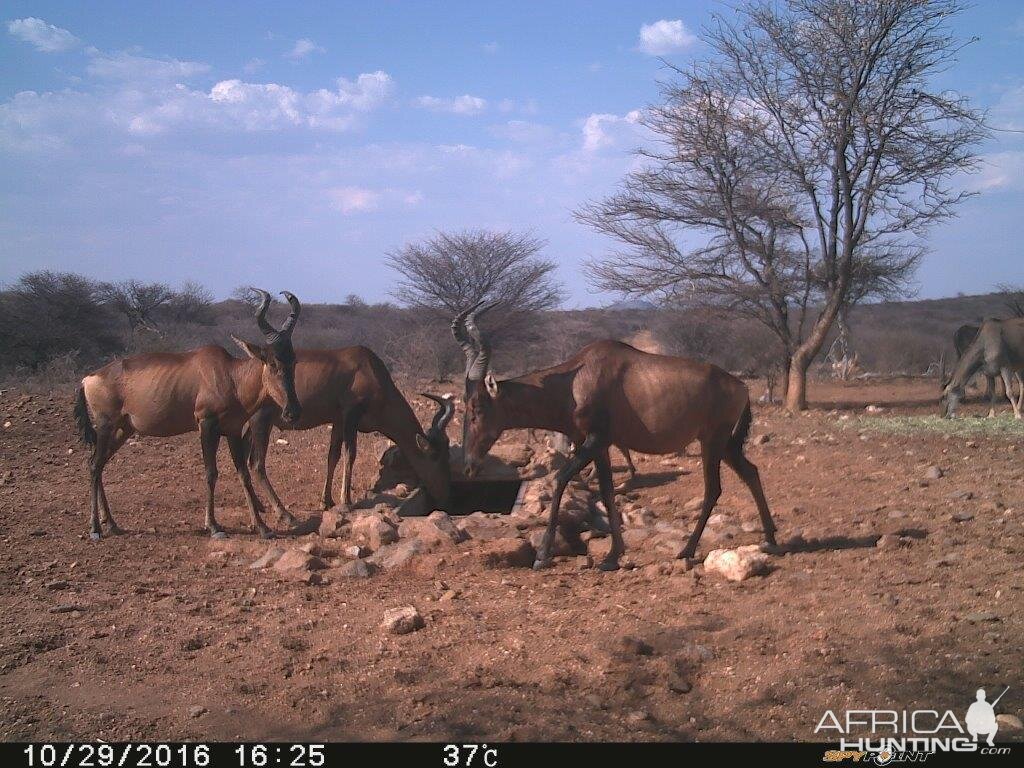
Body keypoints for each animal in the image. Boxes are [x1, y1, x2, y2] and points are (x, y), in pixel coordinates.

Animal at [74, 290, 301, 540]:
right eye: (271, 362)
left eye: (293, 360)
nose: (292, 412)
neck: (229, 374)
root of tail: (88, 378)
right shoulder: (206, 425)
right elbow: (211, 472)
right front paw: (214, 527)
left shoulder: (232, 430)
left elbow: (243, 474)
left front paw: (262, 527)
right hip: (105, 425)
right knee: (95, 465)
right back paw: (95, 528)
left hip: (123, 429)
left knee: (98, 463)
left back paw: (112, 524)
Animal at [243, 350, 452, 524]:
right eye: (435, 457)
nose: (445, 496)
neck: (368, 367)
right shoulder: (351, 415)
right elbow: (350, 454)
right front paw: (347, 500)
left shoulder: (338, 421)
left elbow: (333, 456)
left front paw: (326, 501)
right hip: (261, 422)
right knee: (256, 464)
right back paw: (283, 514)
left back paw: (259, 506)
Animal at [452, 303, 778, 573]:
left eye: (476, 408)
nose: (468, 466)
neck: (576, 380)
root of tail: (741, 386)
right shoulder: (600, 447)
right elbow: (607, 492)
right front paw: (612, 556)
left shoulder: (595, 440)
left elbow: (560, 478)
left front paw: (542, 556)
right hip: (725, 445)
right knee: (751, 472)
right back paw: (771, 540)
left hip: (712, 441)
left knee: (713, 489)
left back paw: (687, 550)